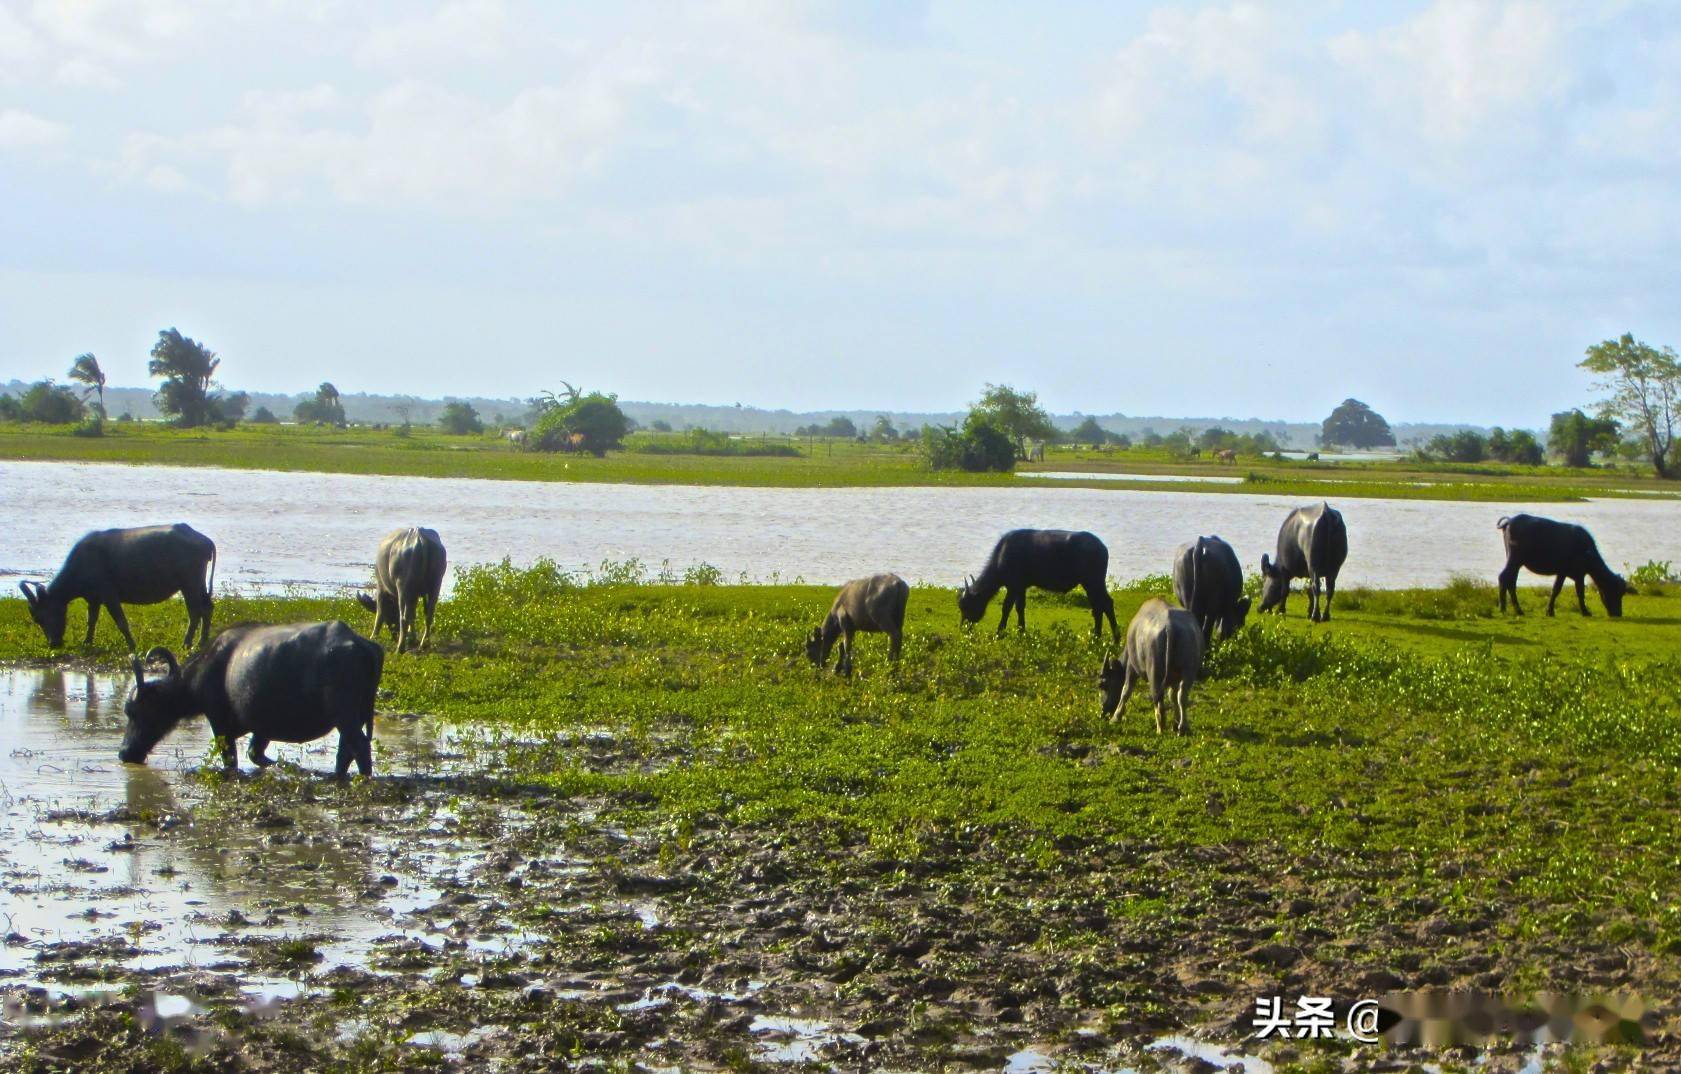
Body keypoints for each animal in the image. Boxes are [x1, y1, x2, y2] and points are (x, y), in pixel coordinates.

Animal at [17, 524, 215, 652]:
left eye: (39, 616)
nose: (54, 644)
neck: (83, 563)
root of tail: (204, 540)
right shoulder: (93, 599)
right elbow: (91, 620)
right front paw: (87, 642)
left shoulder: (109, 596)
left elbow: (121, 621)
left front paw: (132, 645)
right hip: (199, 584)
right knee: (207, 608)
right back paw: (202, 642)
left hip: (189, 584)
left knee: (195, 612)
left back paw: (187, 643)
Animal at [123, 621, 386, 779]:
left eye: (135, 711)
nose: (125, 753)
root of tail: (362, 644)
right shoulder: (262, 727)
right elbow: (254, 753)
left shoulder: (219, 722)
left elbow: (231, 758)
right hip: (355, 716)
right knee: (346, 750)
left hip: (345, 716)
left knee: (358, 746)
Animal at [961, 531, 1116, 638]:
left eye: (966, 606)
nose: (963, 627)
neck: (1002, 556)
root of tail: (1103, 548)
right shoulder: (1021, 587)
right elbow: (1020, 607)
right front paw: (1021, 630)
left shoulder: (1013, 586)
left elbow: (1006, 608)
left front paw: (999, 632)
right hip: (1091, 584)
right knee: (1098, 607)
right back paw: (1097, 636)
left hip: (1094, 582)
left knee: (1105, 604)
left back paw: (1114, 637)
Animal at [1096, 598, 1203, 739]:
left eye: (1103, 685)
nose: (1102, 712)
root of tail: (1169, 627)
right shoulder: (1175, 678)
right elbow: (1173, 697)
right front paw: (1175, 723)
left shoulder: (1131, 667)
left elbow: (1126, 690)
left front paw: (1116, 717)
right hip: (1188, 670)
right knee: (1182, 696)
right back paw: (1183, 727)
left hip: (1154, 671)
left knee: (1158, 697)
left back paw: (1160, 727)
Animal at [1499, 514, 1627, 618]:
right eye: (1615, 591)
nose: (1618, 613)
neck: (1586, 552)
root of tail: (1510, 521)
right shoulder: (1570, 573)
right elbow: (1568, 591)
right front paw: (1585, 612)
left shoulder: (1572, 574)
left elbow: (1570, 591)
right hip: (1515, 559)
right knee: (1503, 577)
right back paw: (1505, 609)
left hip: (1515, 562)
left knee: (1511, 581)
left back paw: (1515, 610)